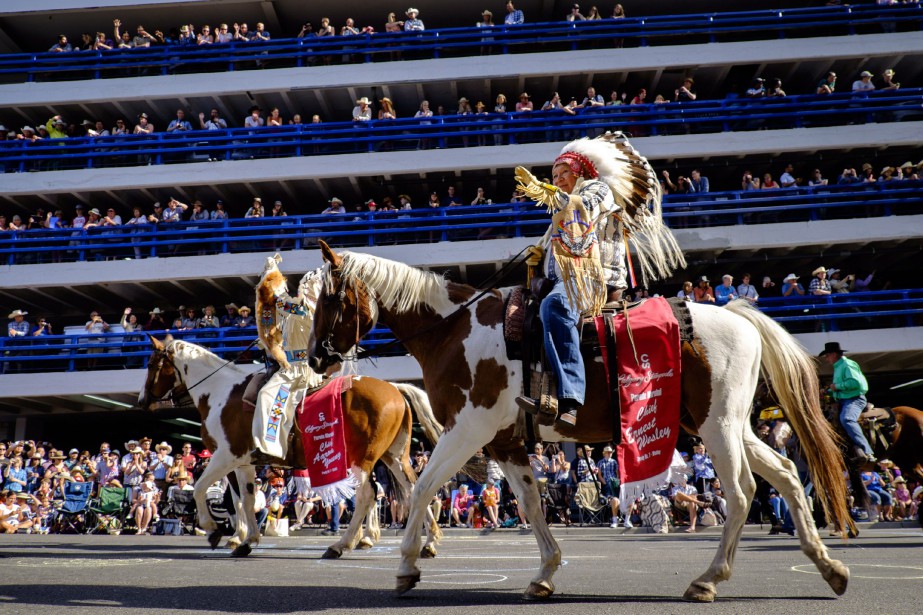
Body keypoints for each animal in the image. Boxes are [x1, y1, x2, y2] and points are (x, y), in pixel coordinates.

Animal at [135, 336, 442, 560]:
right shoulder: (243, 463)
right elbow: (246, 499)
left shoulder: (226, 456)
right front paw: (247, 540)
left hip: (362, 461)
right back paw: (427, 541)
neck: (220, 394)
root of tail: (394, 390)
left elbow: (203, 489)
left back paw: (342, 545)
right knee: (415, 488)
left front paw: (215, 532)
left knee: (368, 494)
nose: (141, 401)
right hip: (394, 458)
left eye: (151, 363)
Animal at [308, 243, 852, 604]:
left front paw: (406, 566)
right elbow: (531, 504)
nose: (315, 358)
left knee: (741, 495)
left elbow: (421, 489)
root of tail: (740, 316)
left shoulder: (467, 431)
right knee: (786, 474)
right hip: (731, 426)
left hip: (717, 429)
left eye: (329, 301)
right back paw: (828, 566)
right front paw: (545, 573)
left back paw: (709, 578)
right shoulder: (504, 442)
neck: (453, 330)